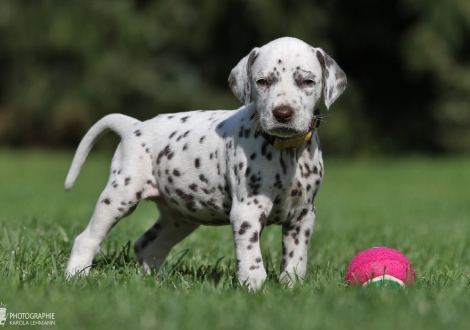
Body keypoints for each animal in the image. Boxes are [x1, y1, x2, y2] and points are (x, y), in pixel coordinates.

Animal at [65, 36, 346, 290]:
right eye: (263, 81)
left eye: (307, 81)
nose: (283, 113)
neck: (286, 150)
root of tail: (134, 126)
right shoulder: (247, 211)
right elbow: (251, 255)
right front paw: (254, 287)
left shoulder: (303, 215)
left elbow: (296, 258)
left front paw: (292, 287)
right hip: (119, 195)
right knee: (87, 239)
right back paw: (75, 276)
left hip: (180, 217)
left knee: (147, 245)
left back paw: (153, 282)